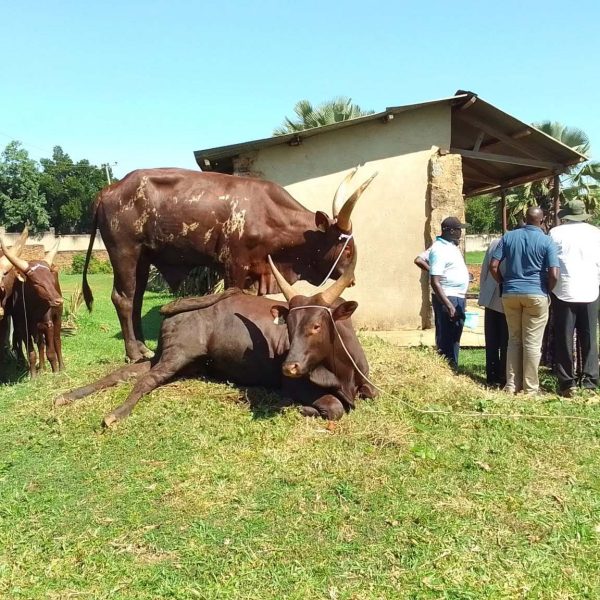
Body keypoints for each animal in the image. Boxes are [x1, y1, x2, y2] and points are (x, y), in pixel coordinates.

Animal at [56, 248, 376, 426]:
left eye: (317, 325)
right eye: (289, 325)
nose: (289, 366)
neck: (343, 370)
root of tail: (179, 304)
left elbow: (370, 395)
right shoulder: (294, 386)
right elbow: (335, 408)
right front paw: (306, 409)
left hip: (179, 360)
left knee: (124, 373)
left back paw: (67, 396)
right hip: (178, 355)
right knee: (144, 380)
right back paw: (115, 413)